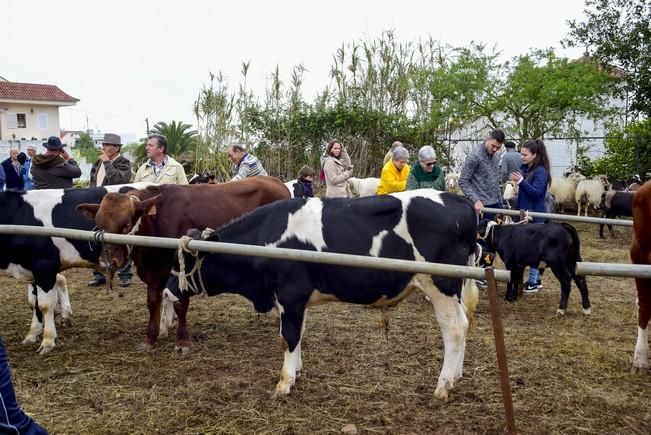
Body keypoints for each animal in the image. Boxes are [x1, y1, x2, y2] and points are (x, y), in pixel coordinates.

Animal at [0, 182, 150, 356]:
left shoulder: (45, 266)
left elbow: (45, 305)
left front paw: (48, 341)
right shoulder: (31, 270)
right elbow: (33, 303)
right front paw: (32, 334)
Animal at [77, 175, 290, 352]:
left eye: (127, 224)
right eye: (100, 224)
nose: (109, 261)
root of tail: (275, 181)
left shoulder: (182, 271)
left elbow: (180, 305)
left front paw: (182, 341)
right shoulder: (153, 274)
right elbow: (152, 303)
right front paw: (150, 338)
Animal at [162, 189, 478, 400]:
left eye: (183, 262)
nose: (166, 291)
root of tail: (457, 200)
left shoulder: (289, 295)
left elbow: (288, 336)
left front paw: (285, 382)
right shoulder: (295, 300)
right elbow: (298, 334)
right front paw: (297, 370)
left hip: (440, 285)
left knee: (454, 329)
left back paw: (442, 386)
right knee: (465, 323)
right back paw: (457, 375)